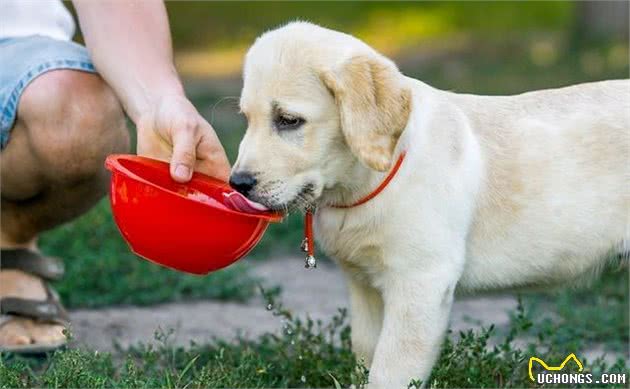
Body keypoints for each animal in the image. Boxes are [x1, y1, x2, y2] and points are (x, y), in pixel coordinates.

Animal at [232, 22, 630, 386]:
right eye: (246, 119)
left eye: (288, 120)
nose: (238, 183)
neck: (368, 181)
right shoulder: (364, 286)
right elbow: (366, 354)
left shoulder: (421, 282)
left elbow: (389, 372)